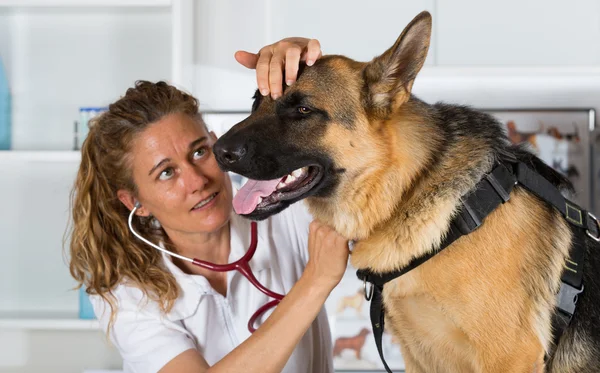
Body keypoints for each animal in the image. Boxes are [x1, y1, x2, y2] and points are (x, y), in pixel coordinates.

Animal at [214, 11, 600, 372]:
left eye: (303, 109)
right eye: (255, 101)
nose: (218, 151)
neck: (410, 191)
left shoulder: (508, 356)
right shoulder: (418, 357)